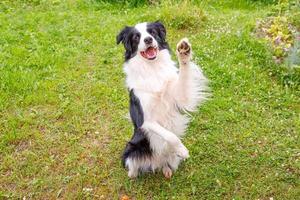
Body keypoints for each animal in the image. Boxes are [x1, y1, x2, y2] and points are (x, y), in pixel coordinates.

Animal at [116, 21, 209, 178]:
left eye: (152, 32)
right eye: (136, 37)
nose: (148, 40)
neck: (152, 68)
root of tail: (155, 161)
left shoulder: (180, 97)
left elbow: (183, 76)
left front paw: (184, 53)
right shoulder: (145, 120)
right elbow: (170, 136)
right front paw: (182, 150)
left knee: (166, 161)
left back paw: (166, 169)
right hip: (131, 147)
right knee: (132, 163)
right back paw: (132, 174)